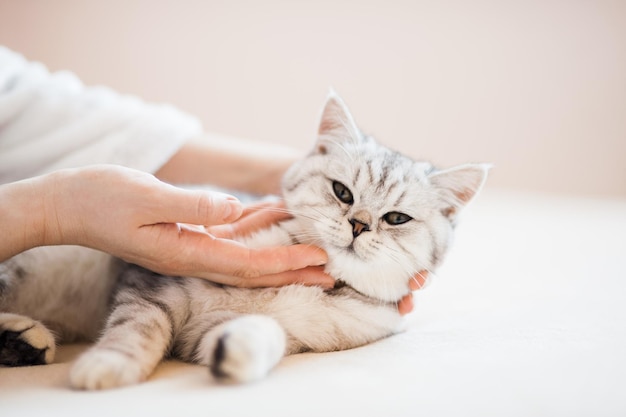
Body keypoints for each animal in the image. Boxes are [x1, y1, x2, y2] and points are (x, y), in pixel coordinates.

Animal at [0, 90, 488, 386]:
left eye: (396, 218)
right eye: (342, 192)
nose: (359, 224)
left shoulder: (249, 335)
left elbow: (264, 332)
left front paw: (238, 350)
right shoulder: (150, 282)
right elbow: (140, 328)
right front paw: (109, 365)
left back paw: (23, 340)